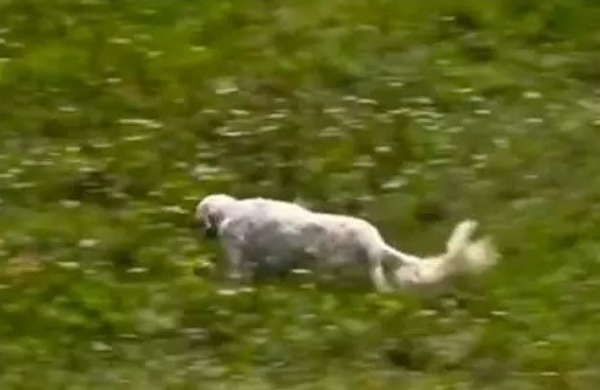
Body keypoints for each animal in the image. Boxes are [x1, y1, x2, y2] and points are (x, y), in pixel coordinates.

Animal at [195, 193, 500, 294]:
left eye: (199, 220)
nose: (201, 233)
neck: (231, 210)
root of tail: (377, 241)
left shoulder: (235, 246)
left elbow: (235, 274)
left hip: (369, 265)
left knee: (381, 284)